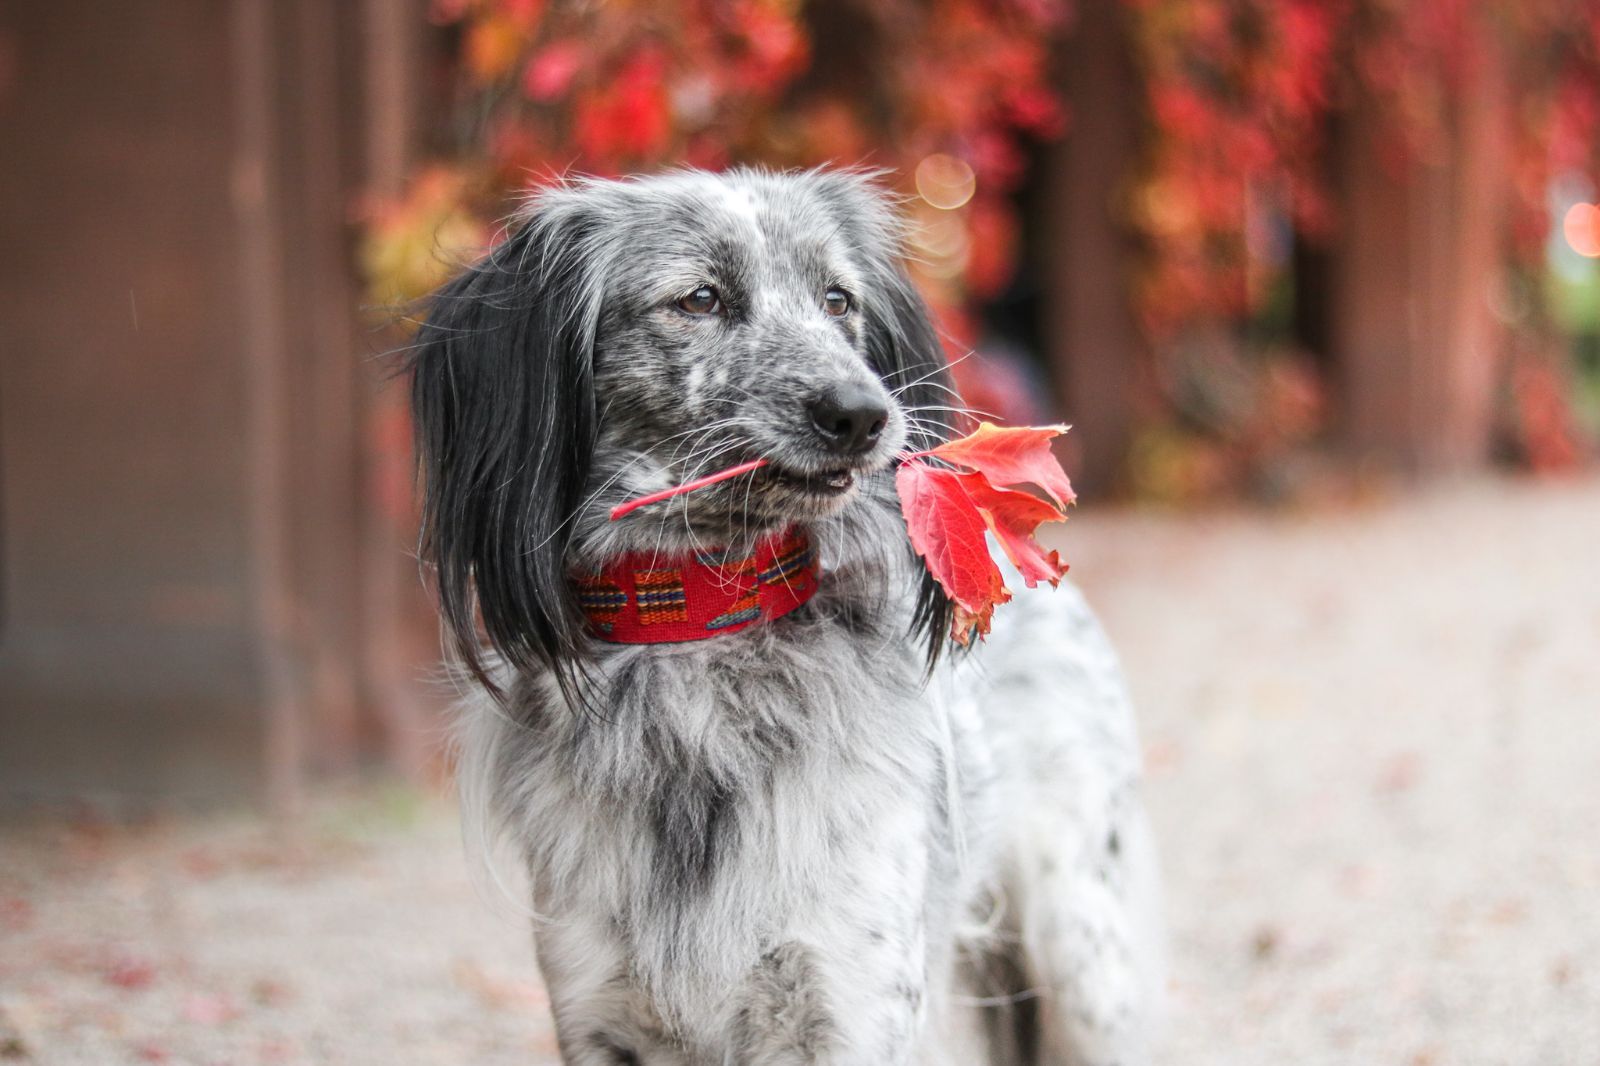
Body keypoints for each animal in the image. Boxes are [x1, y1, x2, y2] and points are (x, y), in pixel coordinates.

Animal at [409, 170, 1164, 1056]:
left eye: (839, 300)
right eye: (700, 298)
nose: (866, 414)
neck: (704, 629)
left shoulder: (845, 1004)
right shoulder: (597, 1011)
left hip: (1085, 962)